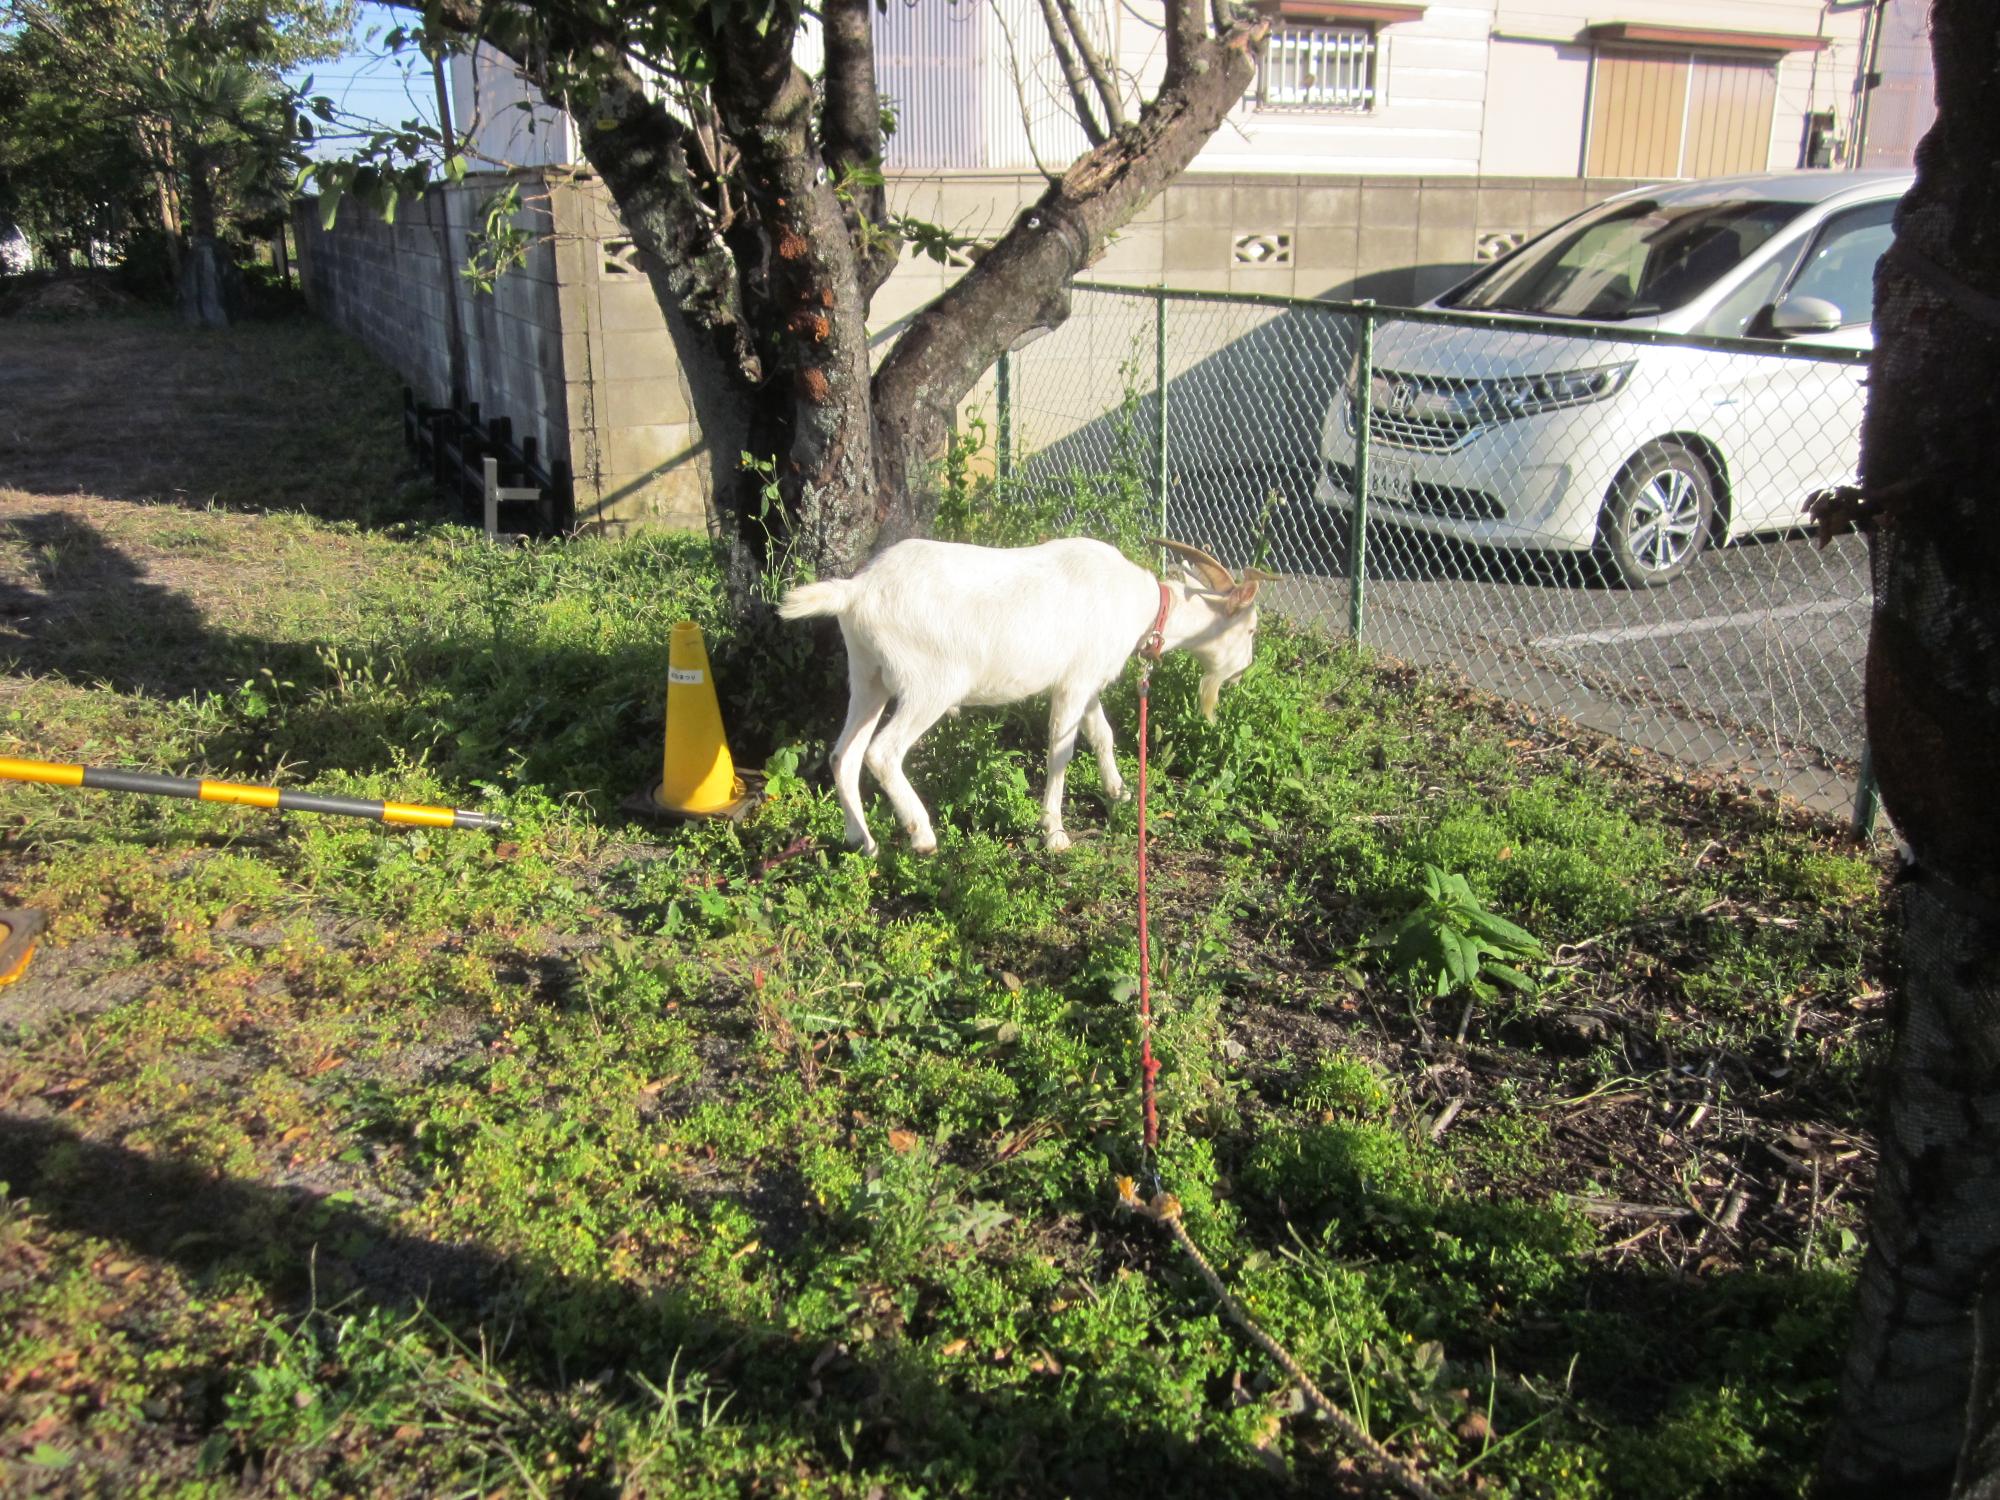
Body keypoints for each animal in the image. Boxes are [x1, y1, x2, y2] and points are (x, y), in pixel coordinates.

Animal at [772, 536, 1272, 856]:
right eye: (1250, 629)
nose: (1243, 671)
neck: (1139, 604)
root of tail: (857, 592)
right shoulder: (1073, 683)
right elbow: (1060, 752)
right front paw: (1055, 833)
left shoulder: (1085, 680)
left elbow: (1102, 734)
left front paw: (1119, 792)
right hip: (930, 683)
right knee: (882, 752)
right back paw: (922, 835)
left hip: (867, 675)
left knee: (844, 754)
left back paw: (863, 840)